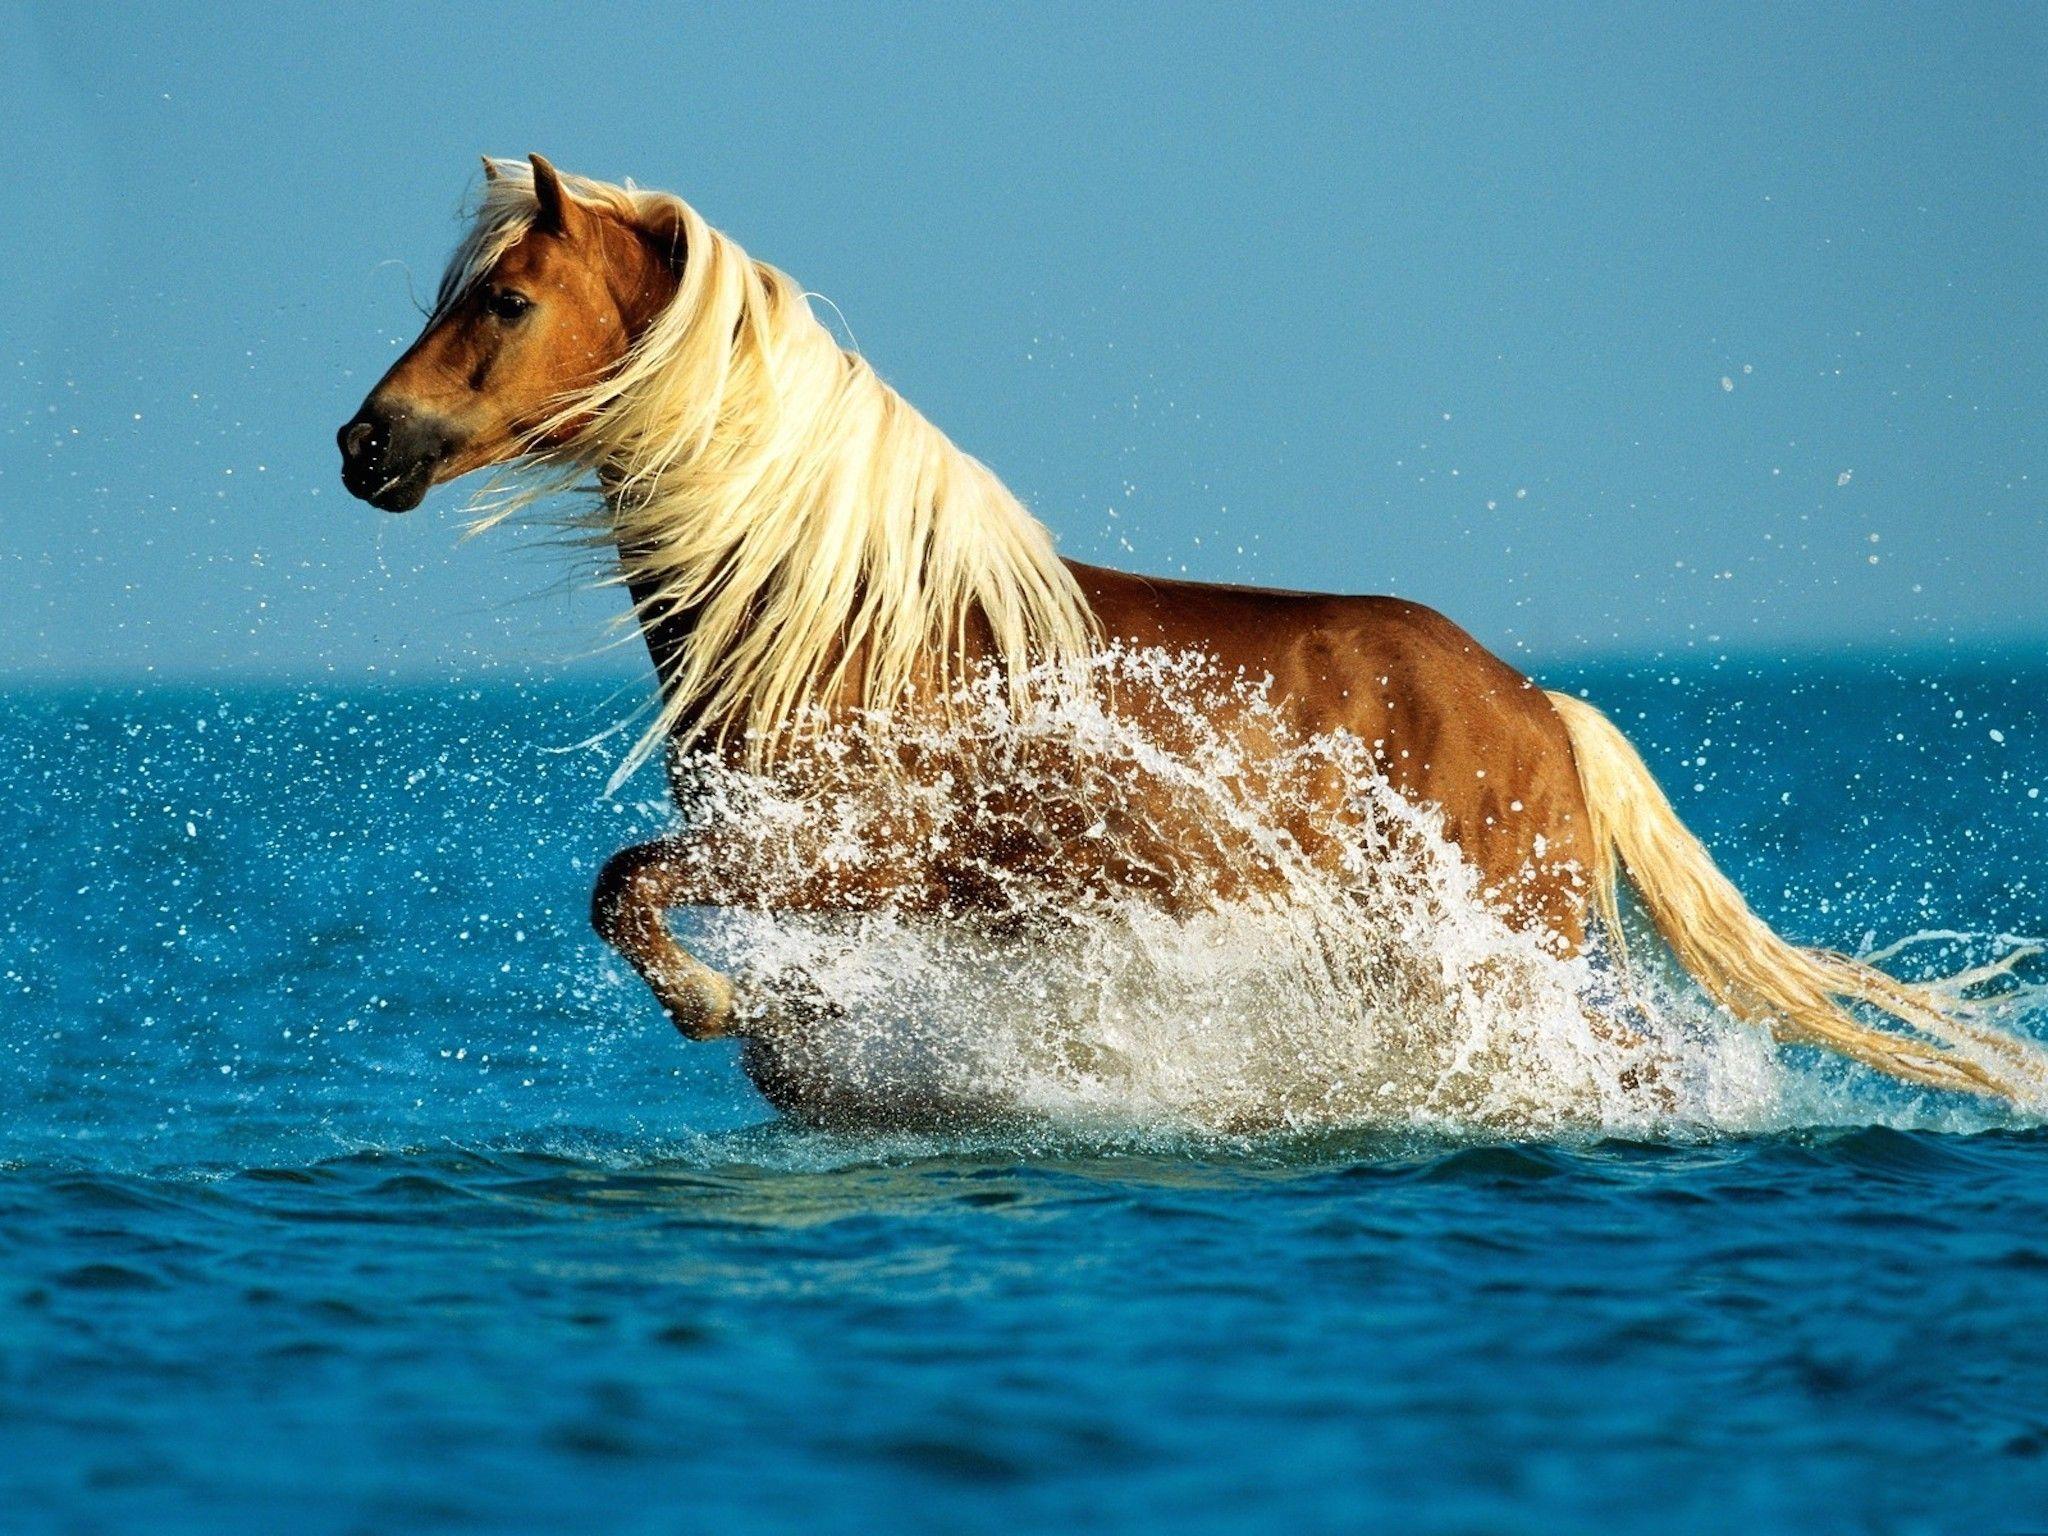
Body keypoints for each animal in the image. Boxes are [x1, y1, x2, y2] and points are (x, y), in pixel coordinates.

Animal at [337, 155, 2038, 1114]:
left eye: (502, 301)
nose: (367, 446)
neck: (844, 620)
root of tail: (1542, 708)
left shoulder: (836, 856)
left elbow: (624, 890)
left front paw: (714, 1008)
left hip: (1505, 954)